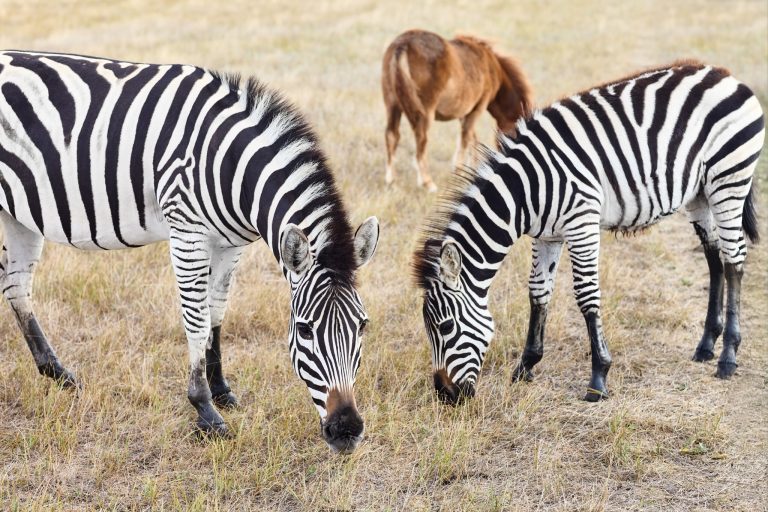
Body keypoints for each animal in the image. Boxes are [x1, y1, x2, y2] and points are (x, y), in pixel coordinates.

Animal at [0, 50, 380, 452]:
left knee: (16, 285)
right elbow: (196, 322)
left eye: (363, 325)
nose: (347, 431)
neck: (232, 167)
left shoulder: (230, 245)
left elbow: (216, 313)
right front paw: (205, 411)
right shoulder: (187, 234)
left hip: (19, 212)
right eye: (305, 330)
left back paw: (56, 373)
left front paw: (221, 390)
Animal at [413, 60, 763, 404]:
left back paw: (728, 357)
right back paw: (706, 345)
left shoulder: (581, 224)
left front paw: (598, 377)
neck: (526, 192)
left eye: (446, 327)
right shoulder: (547, 235)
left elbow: (586, 296)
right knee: (714, 258)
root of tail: (723, 74)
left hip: (729, 179)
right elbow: (538, 292)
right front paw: (526, 366)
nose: (445, 395)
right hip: (699, 194)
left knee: (735, 259)